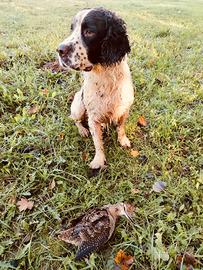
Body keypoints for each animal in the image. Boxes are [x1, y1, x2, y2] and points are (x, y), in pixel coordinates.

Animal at [57, 7, 133, 169]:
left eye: (89, 32)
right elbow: (98, 142)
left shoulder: (124, 109)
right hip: (78, 106)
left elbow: (121, 127)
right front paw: (98, 160)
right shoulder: (93, 118)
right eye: (72, 29)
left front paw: (123, 140)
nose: (59, 50)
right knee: (76, 120)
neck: (106, 76)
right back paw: (82, 130)